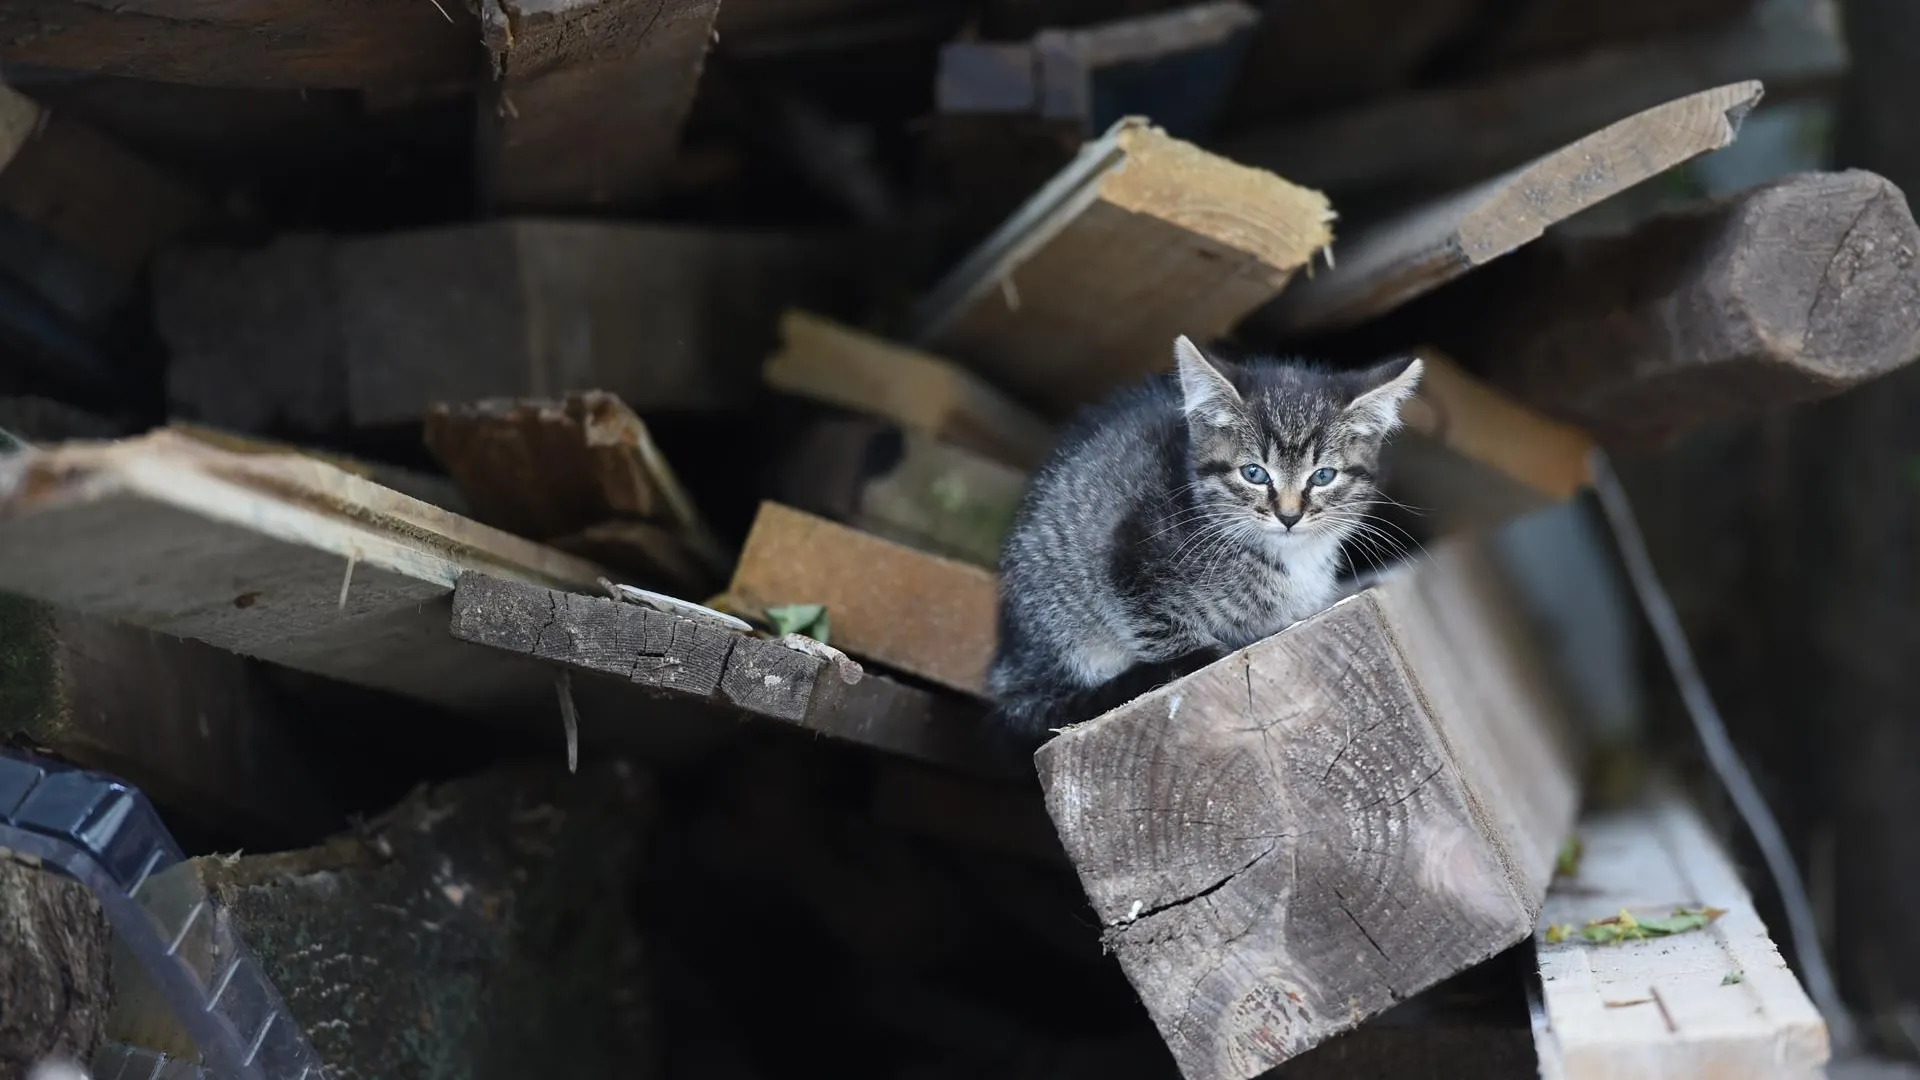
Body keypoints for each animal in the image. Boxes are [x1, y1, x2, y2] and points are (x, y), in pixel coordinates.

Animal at [990, 336, 1428, 737]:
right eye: (1254, 473)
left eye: (1322, 476)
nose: (1289, 516)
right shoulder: (1131, 555)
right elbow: (1154, 622)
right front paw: (1202, 653)